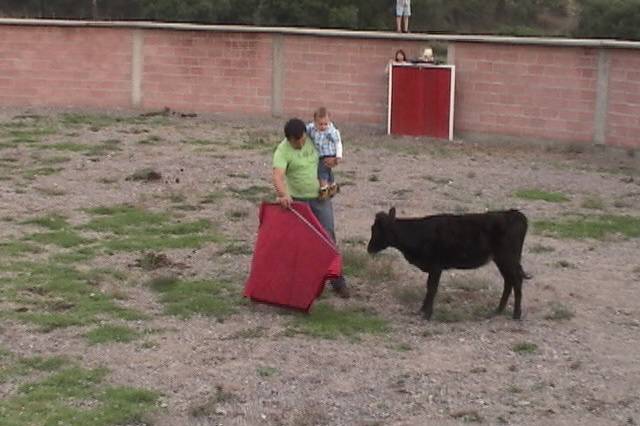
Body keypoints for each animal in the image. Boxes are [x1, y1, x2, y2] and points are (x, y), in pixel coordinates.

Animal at [368, 206, 528, 320]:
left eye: (376, 230)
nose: (369, 248)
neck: (418, 233)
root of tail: (514, 214)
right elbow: (429, 287)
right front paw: (422, 310)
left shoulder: (436, 266)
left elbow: (431, 288)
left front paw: (427, 314)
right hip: (502, 260)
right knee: (509, 281)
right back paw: (498, 310)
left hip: (508, 258)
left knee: (516, 280)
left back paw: (516, 314)